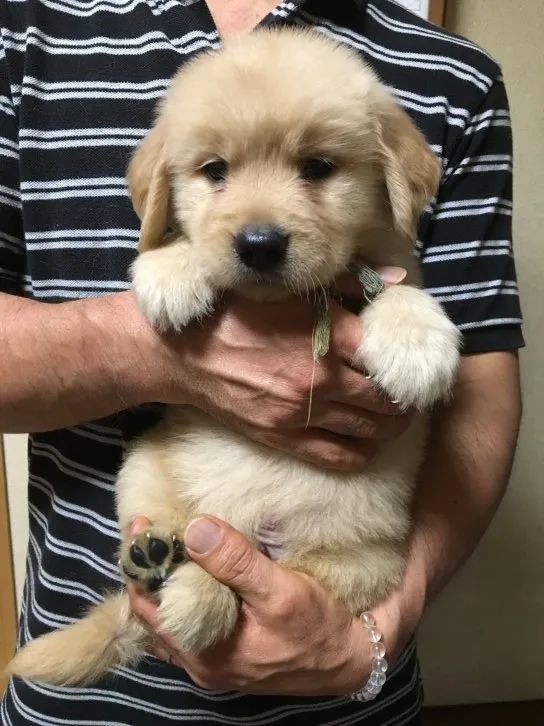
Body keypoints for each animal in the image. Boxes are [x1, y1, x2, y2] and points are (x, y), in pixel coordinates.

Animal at [7, 27, 460, 688]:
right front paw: (173, 270)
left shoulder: (390, 261)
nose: (259, 244)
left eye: (318, 168)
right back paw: (155, 556)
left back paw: (193, 590)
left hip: (356, 567)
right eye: (214, 171)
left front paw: (416, 342)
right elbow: (189, 241)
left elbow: (395, 288)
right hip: (144, 469)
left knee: (242, 583)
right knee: (189, 546)